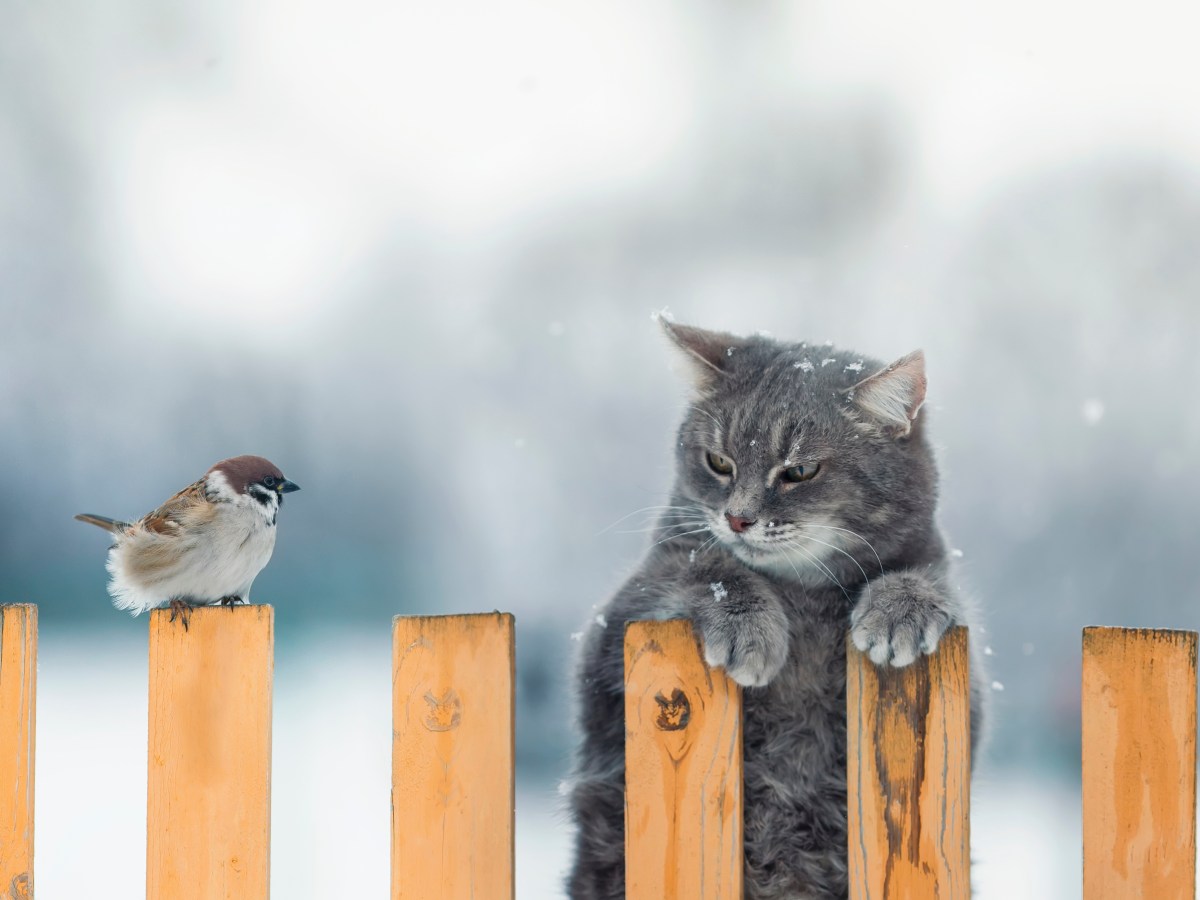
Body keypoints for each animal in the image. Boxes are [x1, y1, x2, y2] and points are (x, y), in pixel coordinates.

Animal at [566, 321, 979, 897]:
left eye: (799, 471)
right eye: (719, 463)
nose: (737, 518)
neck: (801, 593)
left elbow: (925, 579)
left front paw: (901, 608)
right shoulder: (623, 614)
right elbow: (706, 566)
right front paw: (751, 627)